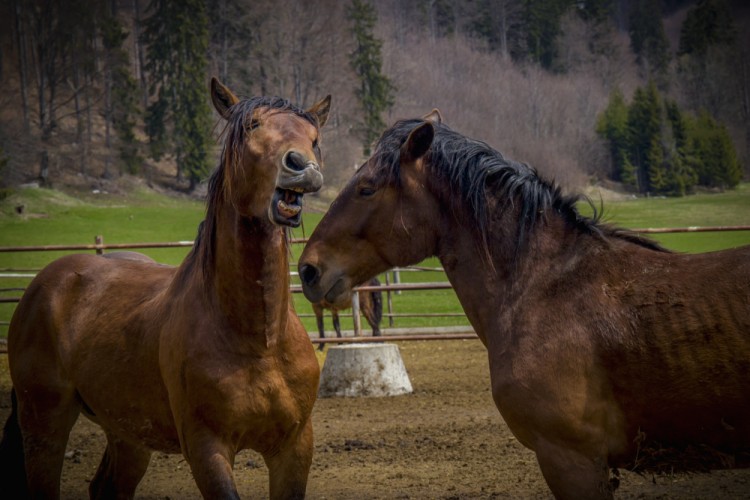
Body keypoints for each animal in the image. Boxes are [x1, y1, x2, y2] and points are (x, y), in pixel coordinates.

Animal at [0, 77, 330, 496]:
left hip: (128, 434)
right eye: (253, 125)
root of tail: (43, 284)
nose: (302, 168)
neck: (260, 341)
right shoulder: (207, 450)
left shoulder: (294, 448)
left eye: (314, 137)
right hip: (44, 423)